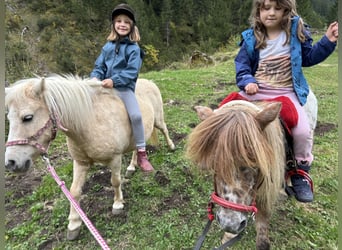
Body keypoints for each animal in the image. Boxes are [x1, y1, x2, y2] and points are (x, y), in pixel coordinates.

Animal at [4, 74, 176, 240]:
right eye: (9, 119)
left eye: (28, 117)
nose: (11, 163)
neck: (90, 122)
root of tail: (149, 82)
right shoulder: (80, 163)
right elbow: (74, 191)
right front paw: (74, 224)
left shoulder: (115, 159)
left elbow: (115, 182)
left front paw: (118, 204)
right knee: (136, 148)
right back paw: (132, 167)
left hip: (158, 120)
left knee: (164, 129)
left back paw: (171, 146)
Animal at [187, 92, 318, 250]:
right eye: (214, 163)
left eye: (255, 162)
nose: (230, 224)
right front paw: (229, 236)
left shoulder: (265, 196)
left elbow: (262, 238)